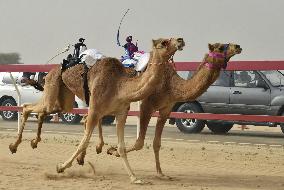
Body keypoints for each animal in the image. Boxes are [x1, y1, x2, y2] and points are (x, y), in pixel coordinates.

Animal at [8, 37, 185, 184]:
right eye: (163, 42)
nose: (180, 40)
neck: (120, 87)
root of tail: (51, 70)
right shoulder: (94, 109)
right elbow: (83, 141)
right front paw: (61, 167)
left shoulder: (121, 113)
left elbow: (121, 147)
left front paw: (135, 178)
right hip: (53, 86)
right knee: (28, 107)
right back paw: (14, 145)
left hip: (64, 101)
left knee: (43, 109)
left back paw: (27, 143)